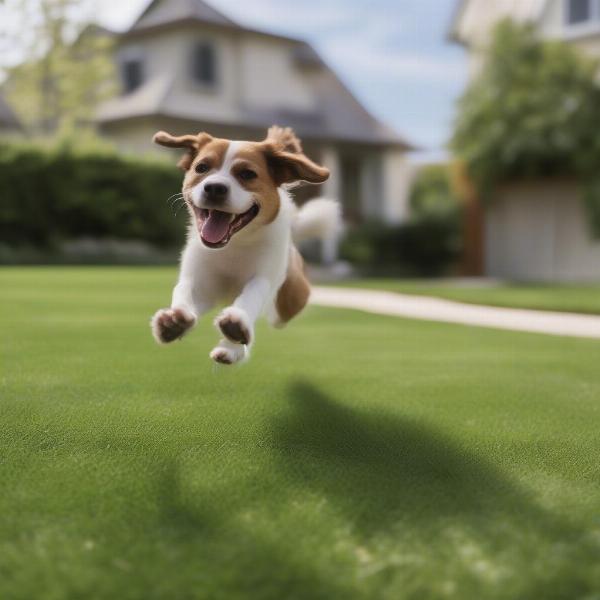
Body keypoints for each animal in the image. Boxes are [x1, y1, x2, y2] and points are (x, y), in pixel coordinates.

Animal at [149, 124, 340, 364]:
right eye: (202, 168)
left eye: (247, 174)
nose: (214, 188)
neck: (234, 245)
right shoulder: (200, 280)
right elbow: (183, 291)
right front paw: (174, 321)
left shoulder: (264, 277)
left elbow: (252, 295)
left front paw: (236, 327)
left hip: (291, 299)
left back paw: (232, 347)